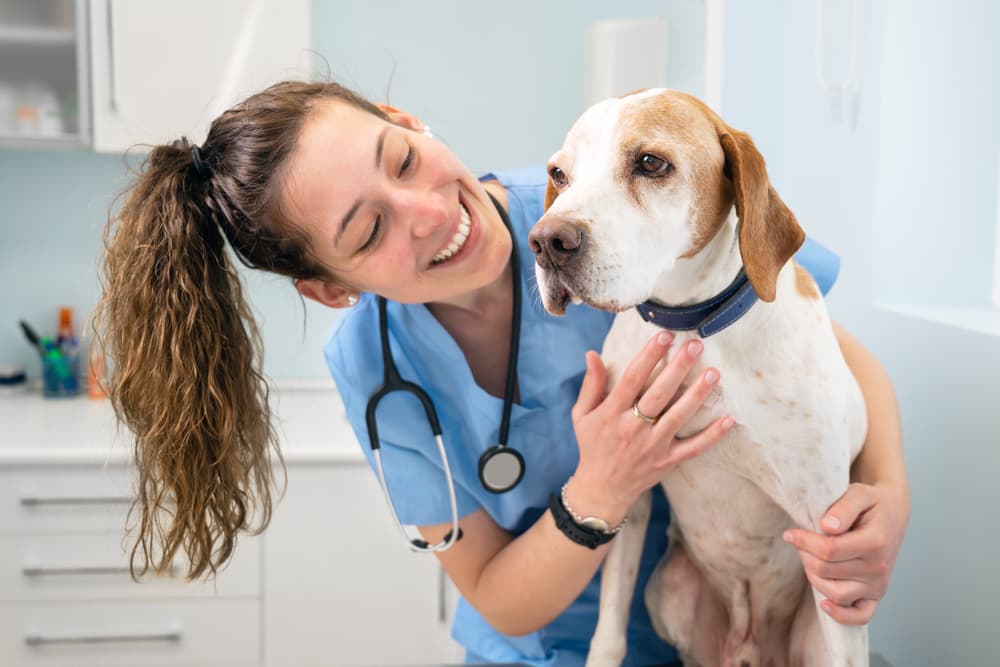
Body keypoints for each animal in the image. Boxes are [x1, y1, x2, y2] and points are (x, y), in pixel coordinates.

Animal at [532, 90, 868, 667]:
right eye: (559, 173)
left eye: (650, 163)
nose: (547, 241)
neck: (694, 327)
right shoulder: (629, 496)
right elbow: (609, 632)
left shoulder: (827, 532)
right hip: (668, 588)